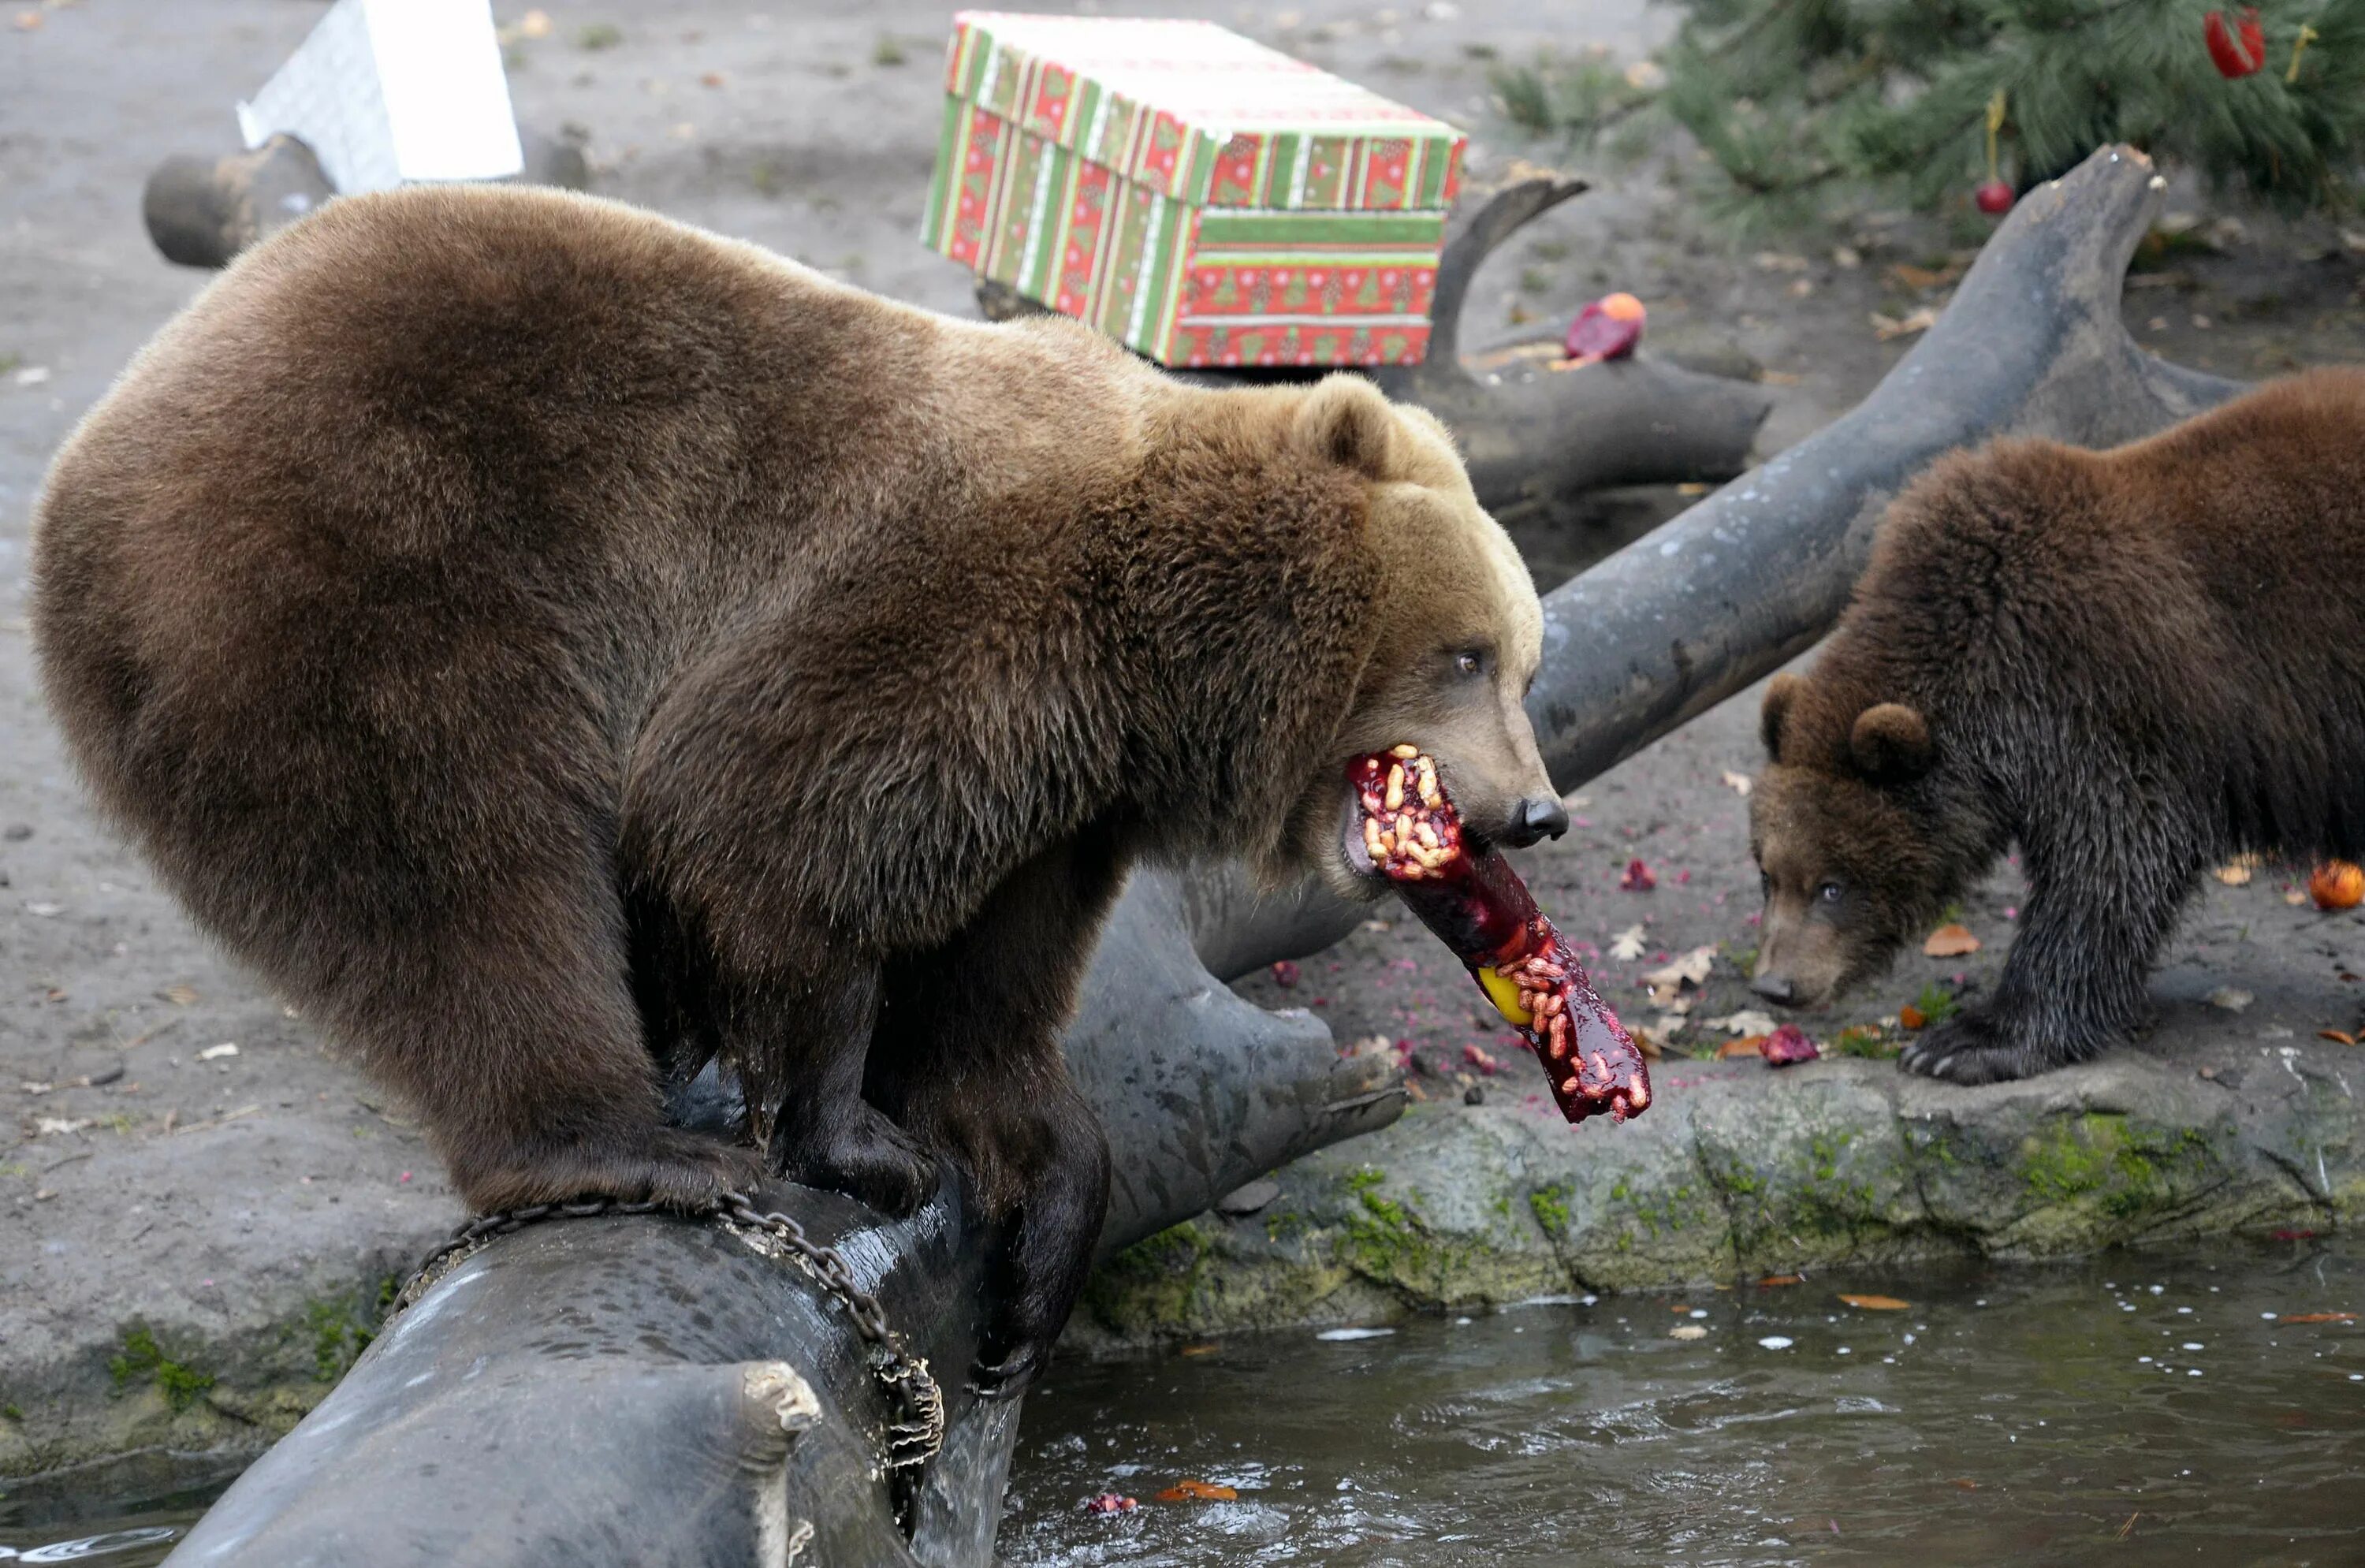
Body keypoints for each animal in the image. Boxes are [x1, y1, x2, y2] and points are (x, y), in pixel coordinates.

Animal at [36, 187, 1561, 1391]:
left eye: (1525, 661)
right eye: (1470, 652)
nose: (1535, 808)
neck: (1151, 653)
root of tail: (94, 443)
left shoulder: (1064, 790)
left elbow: (992, 982)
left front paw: (1039, 1223)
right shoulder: (934, 604)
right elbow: (769, 832)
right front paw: (858, 1140)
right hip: (355, 562)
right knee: (460, 863)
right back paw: (620, 1143)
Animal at [1750, 371, 2365, 1078]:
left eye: (1832, 884)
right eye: (1768, 873)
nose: (1776, 984)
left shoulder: (2100, 702)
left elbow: (2107, 868)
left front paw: (1968, 1040)